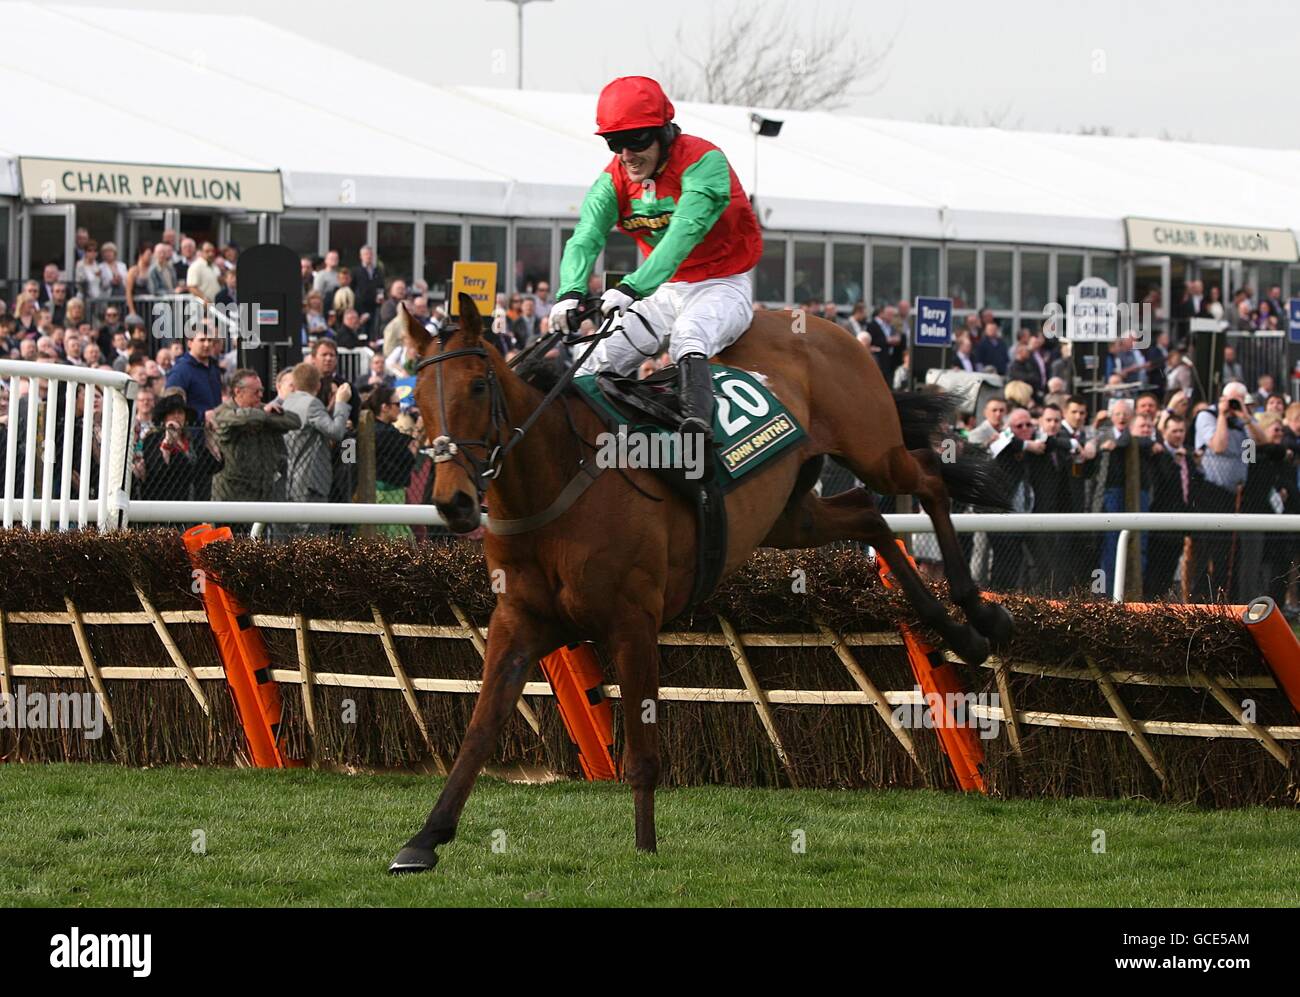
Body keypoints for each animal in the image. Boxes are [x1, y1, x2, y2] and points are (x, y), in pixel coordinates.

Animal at [387, 293, 1013, 873]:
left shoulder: (632, 623)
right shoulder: (519, 622)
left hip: (873, 448)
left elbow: (642, 753)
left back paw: (981, 617)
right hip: (788, 517)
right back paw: (960, 634)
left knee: (928, 479)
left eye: (476, 387)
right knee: (868, 514)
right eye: (417, 400)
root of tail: (818, 323)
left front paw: (645, 849)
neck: (555, 482)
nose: (454, 502)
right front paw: (423, 840)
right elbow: (479, 729)